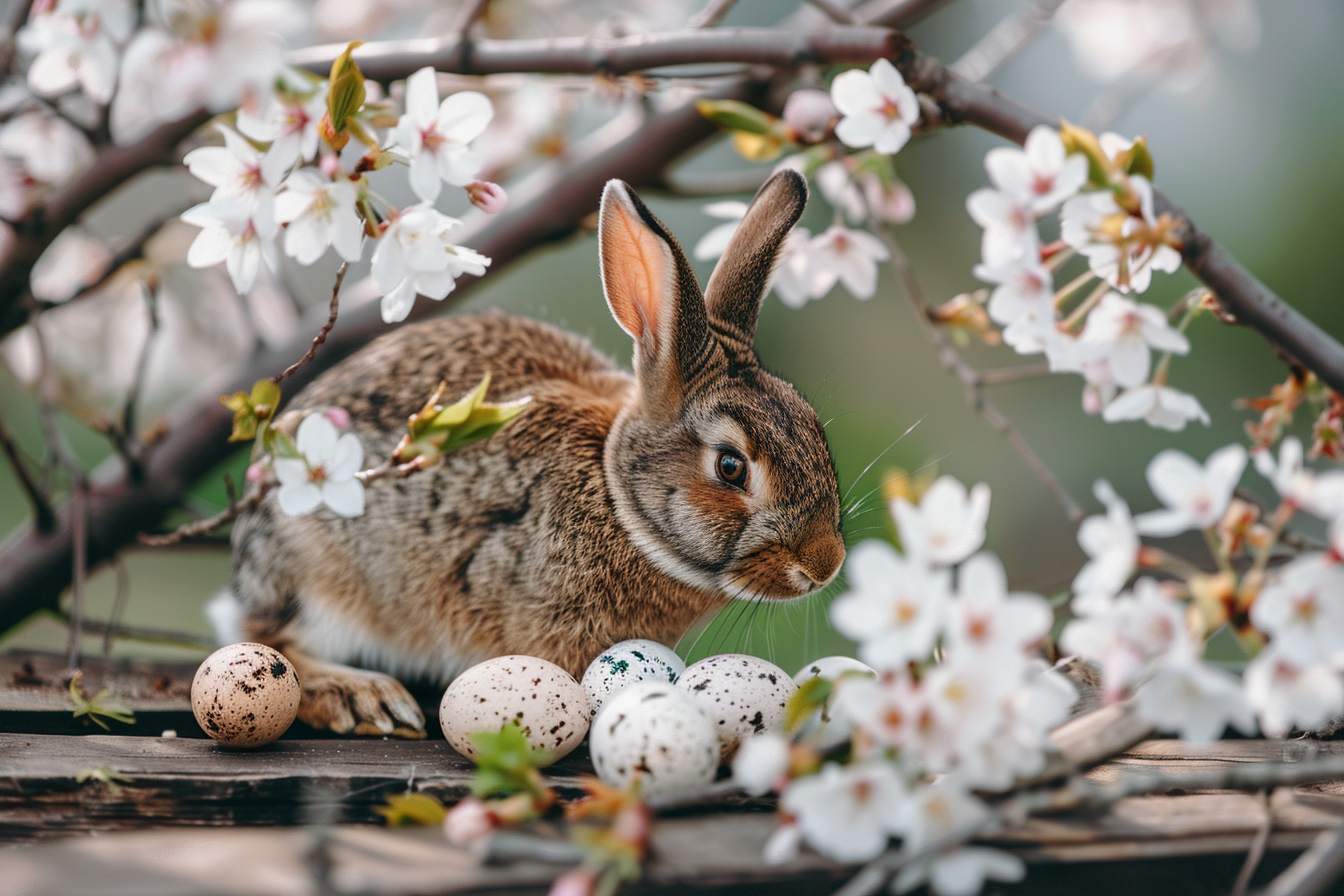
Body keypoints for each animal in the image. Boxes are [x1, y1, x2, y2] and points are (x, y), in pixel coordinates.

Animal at [213, 169, 846, 737]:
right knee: (269, 640)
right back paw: (362, 698)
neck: (618, 498)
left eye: (814, 427)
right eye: (731, 467)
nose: (824, 565)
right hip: (316, 573)